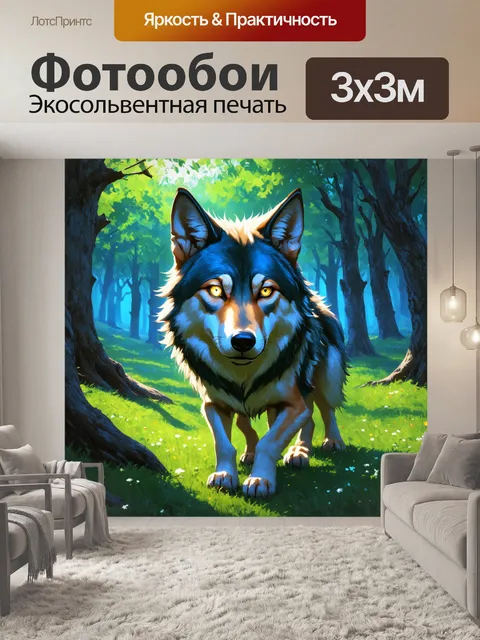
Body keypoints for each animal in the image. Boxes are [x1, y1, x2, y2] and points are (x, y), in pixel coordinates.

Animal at [160, 187, 348, 499]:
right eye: (215, 290)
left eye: (266, 291)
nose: (243, 341)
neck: (243, 377)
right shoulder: (213, 403)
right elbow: (226, 442)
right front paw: (226, 474)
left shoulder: (293, 402)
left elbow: (270, 442)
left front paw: (260, 480)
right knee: (266, 421)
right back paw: (293, 451)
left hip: (325, 379)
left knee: (324, 409)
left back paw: (325, 444)